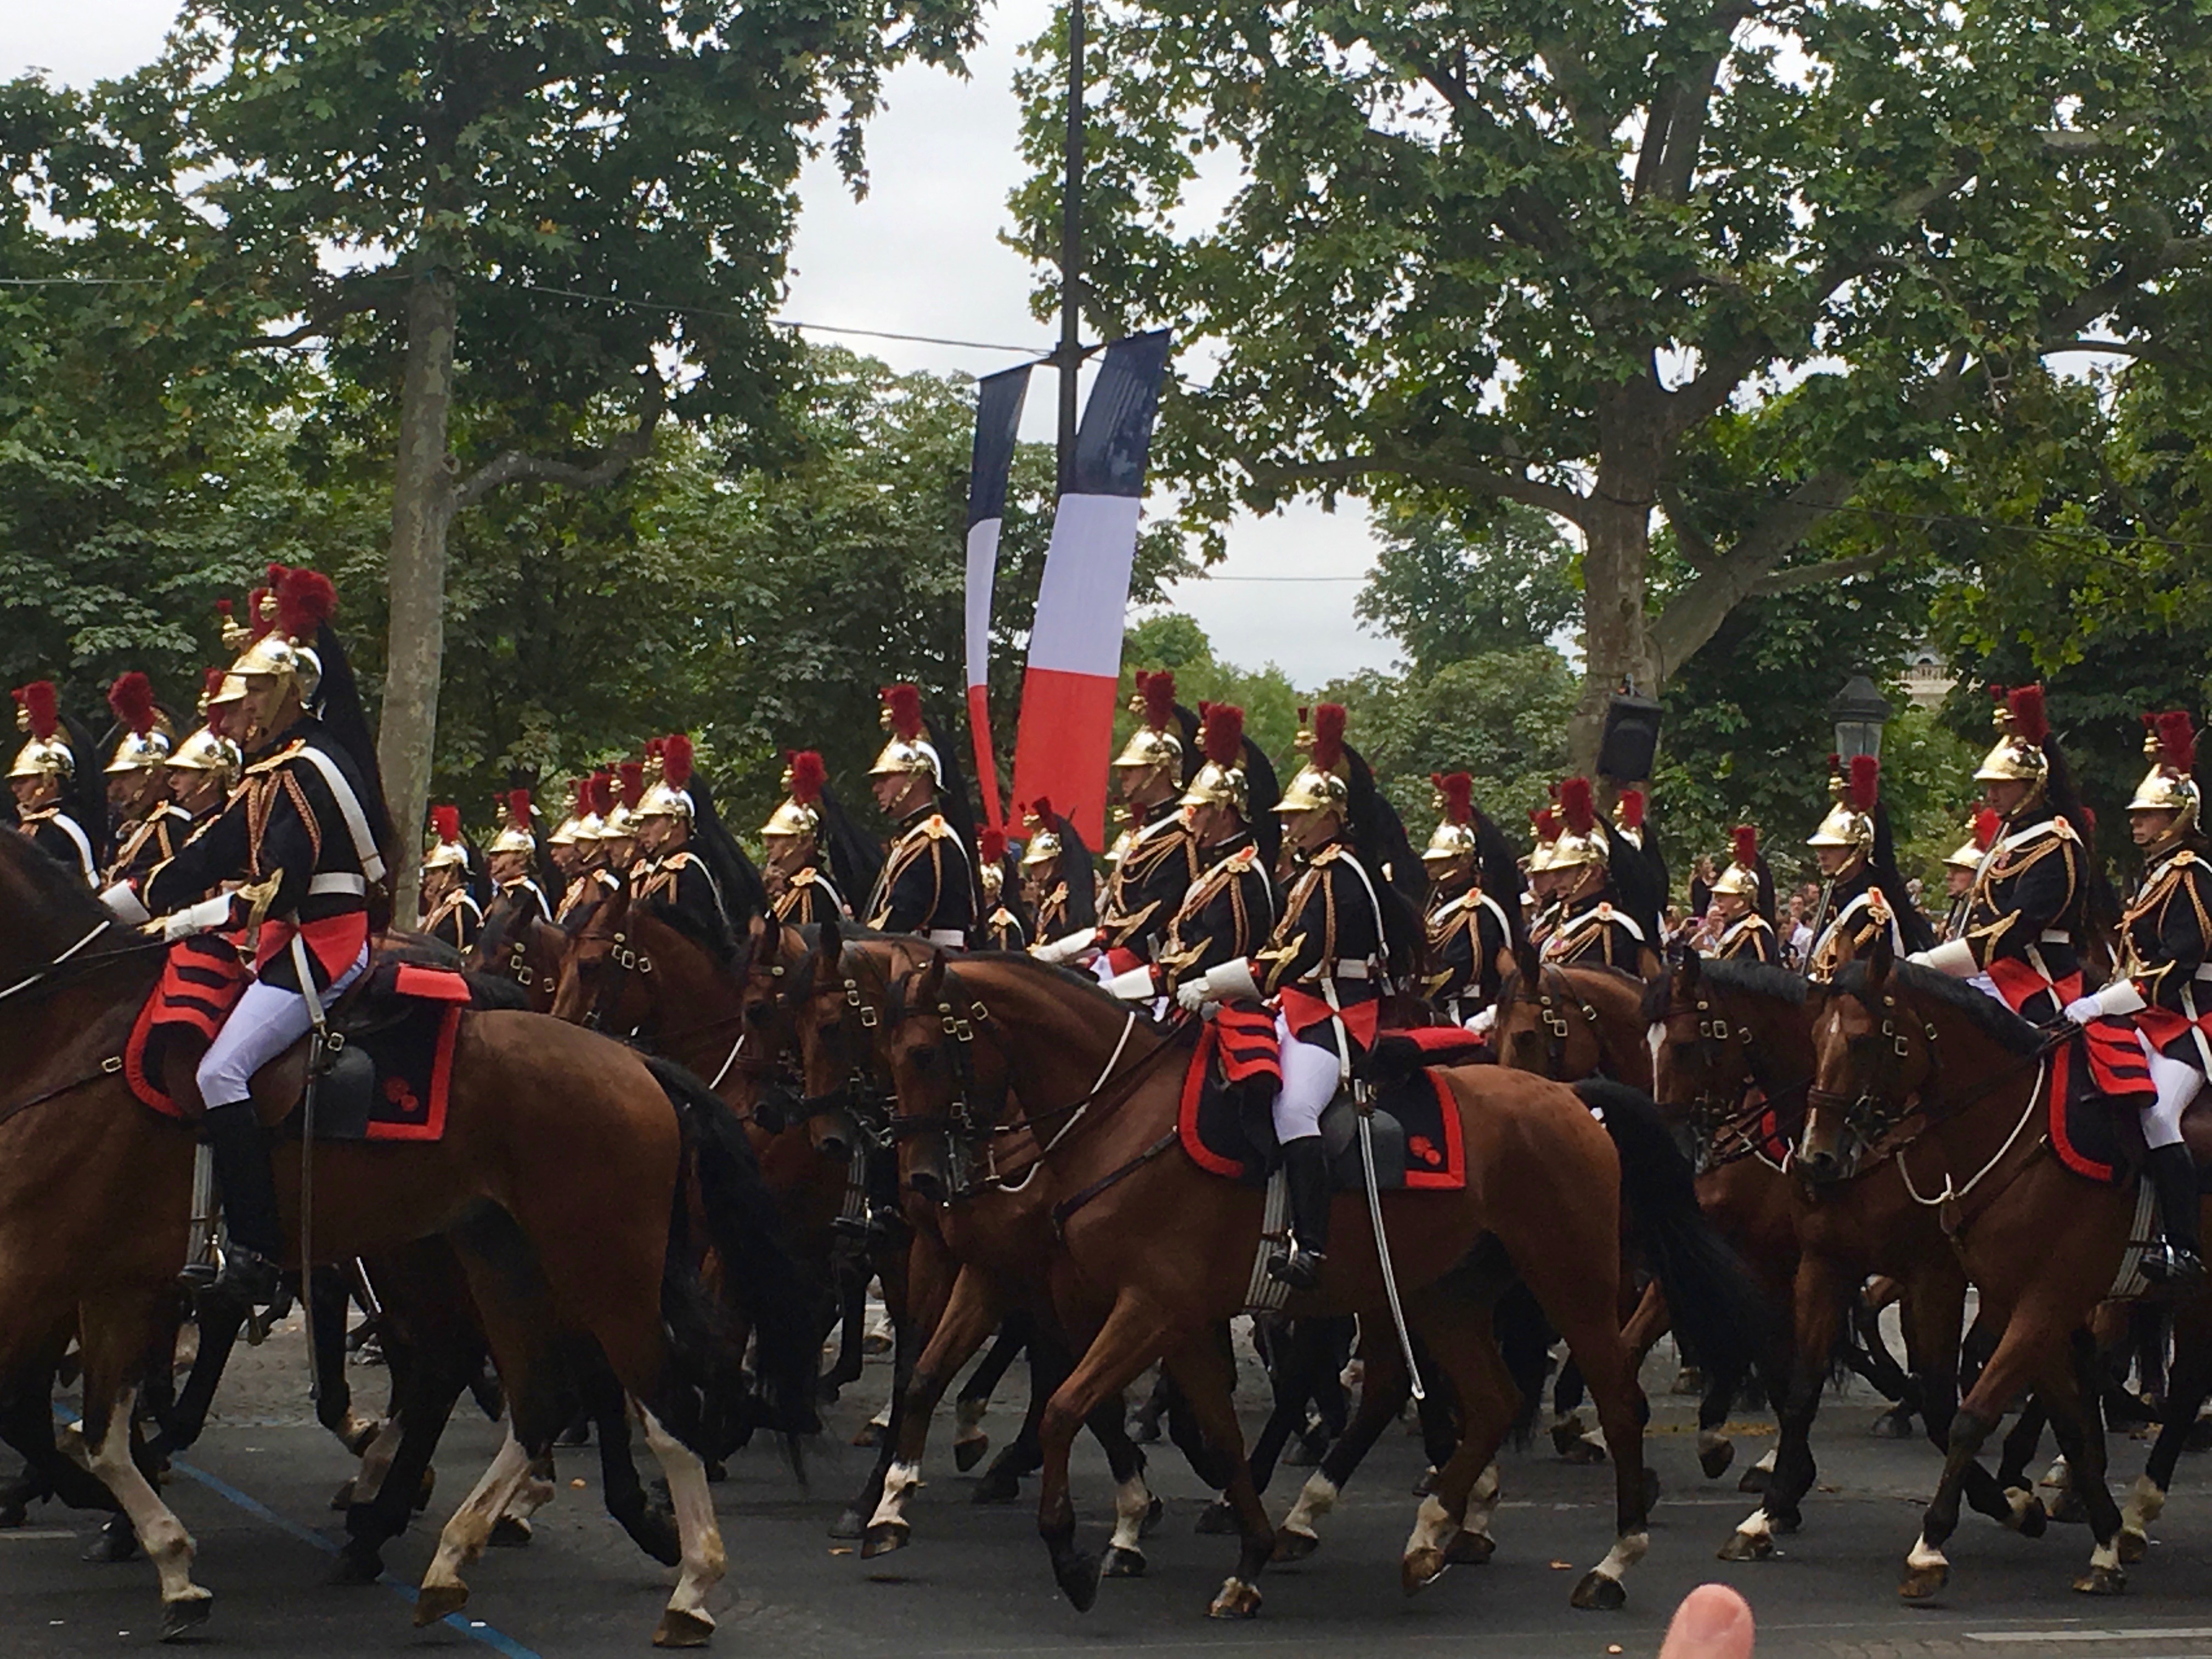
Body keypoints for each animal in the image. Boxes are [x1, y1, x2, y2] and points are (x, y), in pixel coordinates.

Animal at [0, 836, 805, 1645]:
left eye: (600, 966)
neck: (76, 1031)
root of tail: (631, 1060)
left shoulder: (41, 1264)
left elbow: (46, 1410)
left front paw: (112, 1512)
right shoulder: (107, 1279)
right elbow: (98, 1431)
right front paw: (166, 1560)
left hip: (597, 1265)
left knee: (653, 1401)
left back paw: (687, 1582)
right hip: (499, 1258)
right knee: (534, 1393)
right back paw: (447, 1552)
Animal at [854, 946, 1769, 1628]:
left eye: (927, 1052)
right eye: (887, 1056)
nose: (921, 1179)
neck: (1120, 1118)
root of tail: (1570, 1100)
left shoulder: (1144, 1306)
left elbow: (1066, 1408)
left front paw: (1074, 1551)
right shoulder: (1157, 1311)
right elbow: (1210, 1431)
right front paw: (1246, 1554)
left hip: (1568, 1277)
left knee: (1616, 1399)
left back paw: (1612, 1559)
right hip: (1442, 1293)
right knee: (1491, 1400)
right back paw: (1428, 1537)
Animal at [1796, 942, 2159, 1601]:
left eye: (1861, 1042)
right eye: (1814, 1035)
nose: (1817, 1158)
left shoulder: (2036, 1296)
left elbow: (1967, 1415)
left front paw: (1931, 1546)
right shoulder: (2027, 1300)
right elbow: (2068, 1422)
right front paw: (2101, 1541)